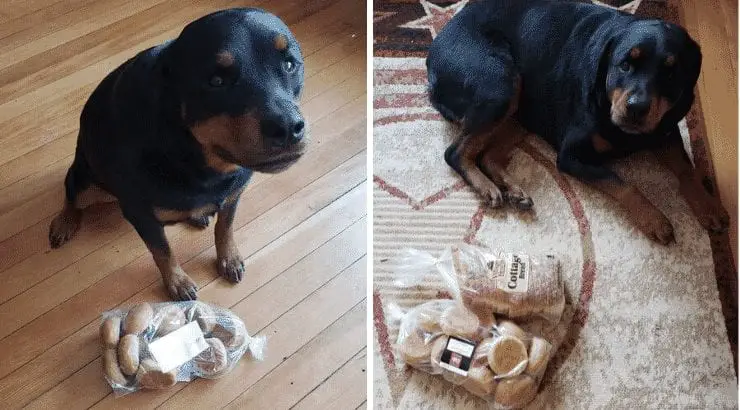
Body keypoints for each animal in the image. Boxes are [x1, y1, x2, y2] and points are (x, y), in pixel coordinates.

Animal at [48, 8, 306, 300]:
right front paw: (177, 282)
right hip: (87, 181)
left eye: (289, 65)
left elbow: (225, 228)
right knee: (71, 194)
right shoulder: (141, 215)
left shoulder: (233, 195)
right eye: (216, 81)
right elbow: (162, 251)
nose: (288, 128)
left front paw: (228, 258)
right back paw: (64, 222)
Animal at [424, 0, 732, 243]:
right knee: (455, 152)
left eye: (670, 73)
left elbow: (686, 168)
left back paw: (513, 189)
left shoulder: (665, 129)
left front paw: (709, 205)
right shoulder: (571, 156)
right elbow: (622, 183)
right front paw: (655, 219)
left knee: (487, 154)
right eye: (625, 64)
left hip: (521, 111)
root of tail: (433, 49)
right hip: (500, 84)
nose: (636, 108)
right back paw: (487, 188)